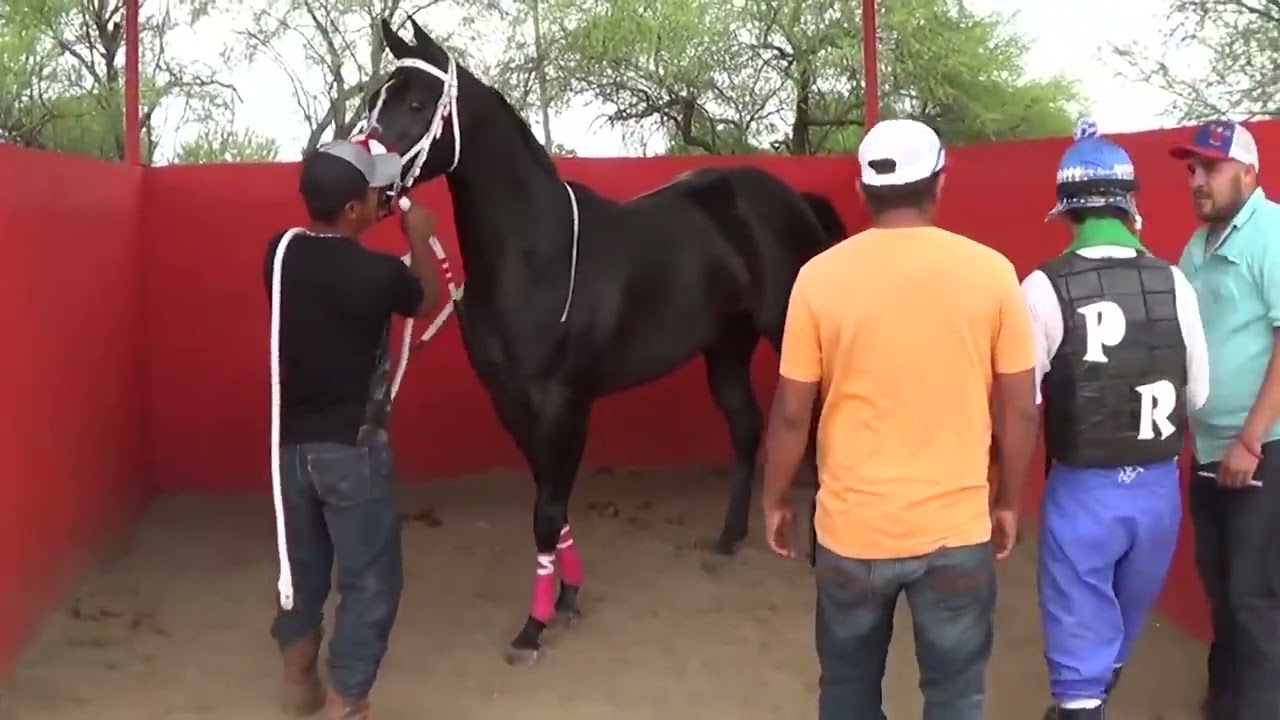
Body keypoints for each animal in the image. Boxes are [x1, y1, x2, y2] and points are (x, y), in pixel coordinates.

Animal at [357, 16, 847, 665]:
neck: (537, 255)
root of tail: (793, 200)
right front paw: (566, 597)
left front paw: (532, 628)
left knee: (813, 425)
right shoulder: (512, 401)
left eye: (416, 103)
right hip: (725, 347)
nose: (363, 181)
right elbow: (550, 498)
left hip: (786, 335)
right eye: (374, 100)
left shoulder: (565, 400)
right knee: (746, 428)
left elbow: (547, 509)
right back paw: (727, 540)